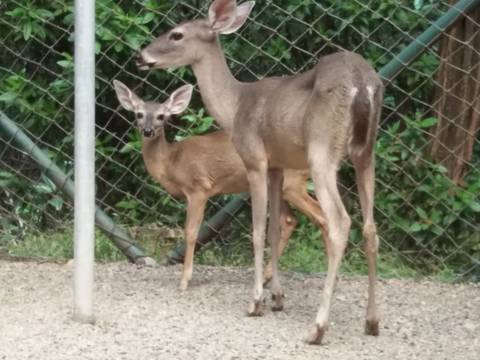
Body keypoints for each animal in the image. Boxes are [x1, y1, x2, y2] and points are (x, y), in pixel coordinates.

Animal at [113, 80, 326, 292]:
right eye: (139, 114)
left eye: (161, 116)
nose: (148, 131)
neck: (171, 161)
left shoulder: (199, 186)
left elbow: (191, 232)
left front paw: (184, 280)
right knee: (289, 220)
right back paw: (266, 277)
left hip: (292, 182)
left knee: (321, 216)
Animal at [137, 0, 384, 344]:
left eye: (177, 34)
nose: (141, 56)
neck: (235, 107)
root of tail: (363, 84)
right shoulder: (277, 165)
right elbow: (276, 228)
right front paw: (277, 298)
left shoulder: (255, 159)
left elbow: (257, 230)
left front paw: (255, 301)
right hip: (366, 152)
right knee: (371, 227)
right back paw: (372, 322)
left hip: (322, 152)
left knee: (339, 221)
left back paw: (317, 328)